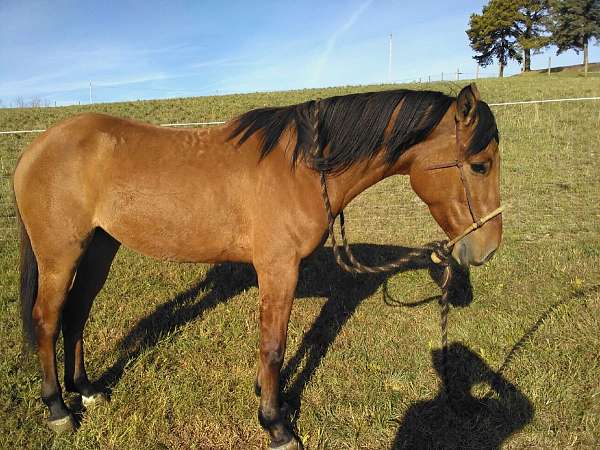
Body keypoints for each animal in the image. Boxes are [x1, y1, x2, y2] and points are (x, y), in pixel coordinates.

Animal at [14, 83, 502, 446]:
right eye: (480, 165)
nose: (487, 248)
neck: (303, 166)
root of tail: (37, 148)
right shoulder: (278, 268)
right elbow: (273, 346)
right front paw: (276, 424)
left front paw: (273, 401)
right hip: (61, 255)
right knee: (47, 319)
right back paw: (57, 408)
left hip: (100, 247)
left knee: (76, 313)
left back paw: (86, 391)